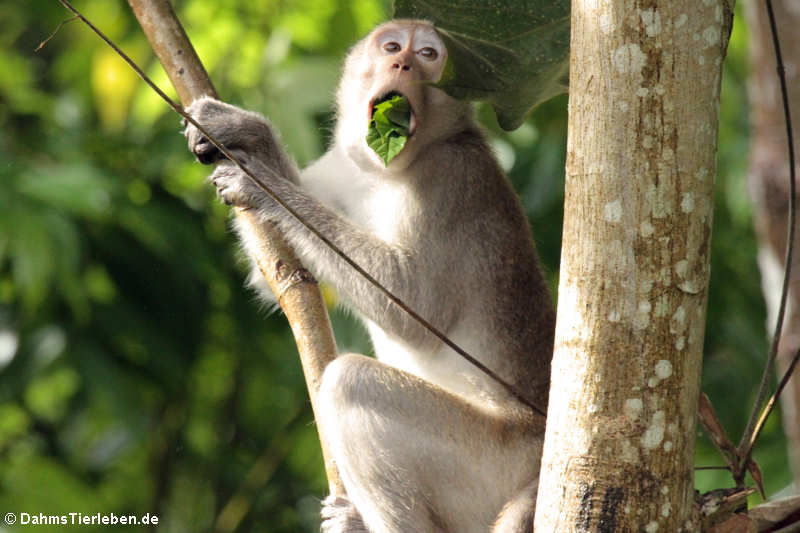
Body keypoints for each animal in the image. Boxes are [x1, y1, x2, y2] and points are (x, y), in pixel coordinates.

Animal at [184, 18, 552, 528]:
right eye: (393, 47)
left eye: (429, 55)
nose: (403, 65)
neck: (387, 169)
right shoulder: (340, 167)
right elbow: (278, 274)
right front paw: (248, 134)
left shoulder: (451, 179)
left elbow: (414, 307)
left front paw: (257, 179)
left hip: (492, 465)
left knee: (350, 383)